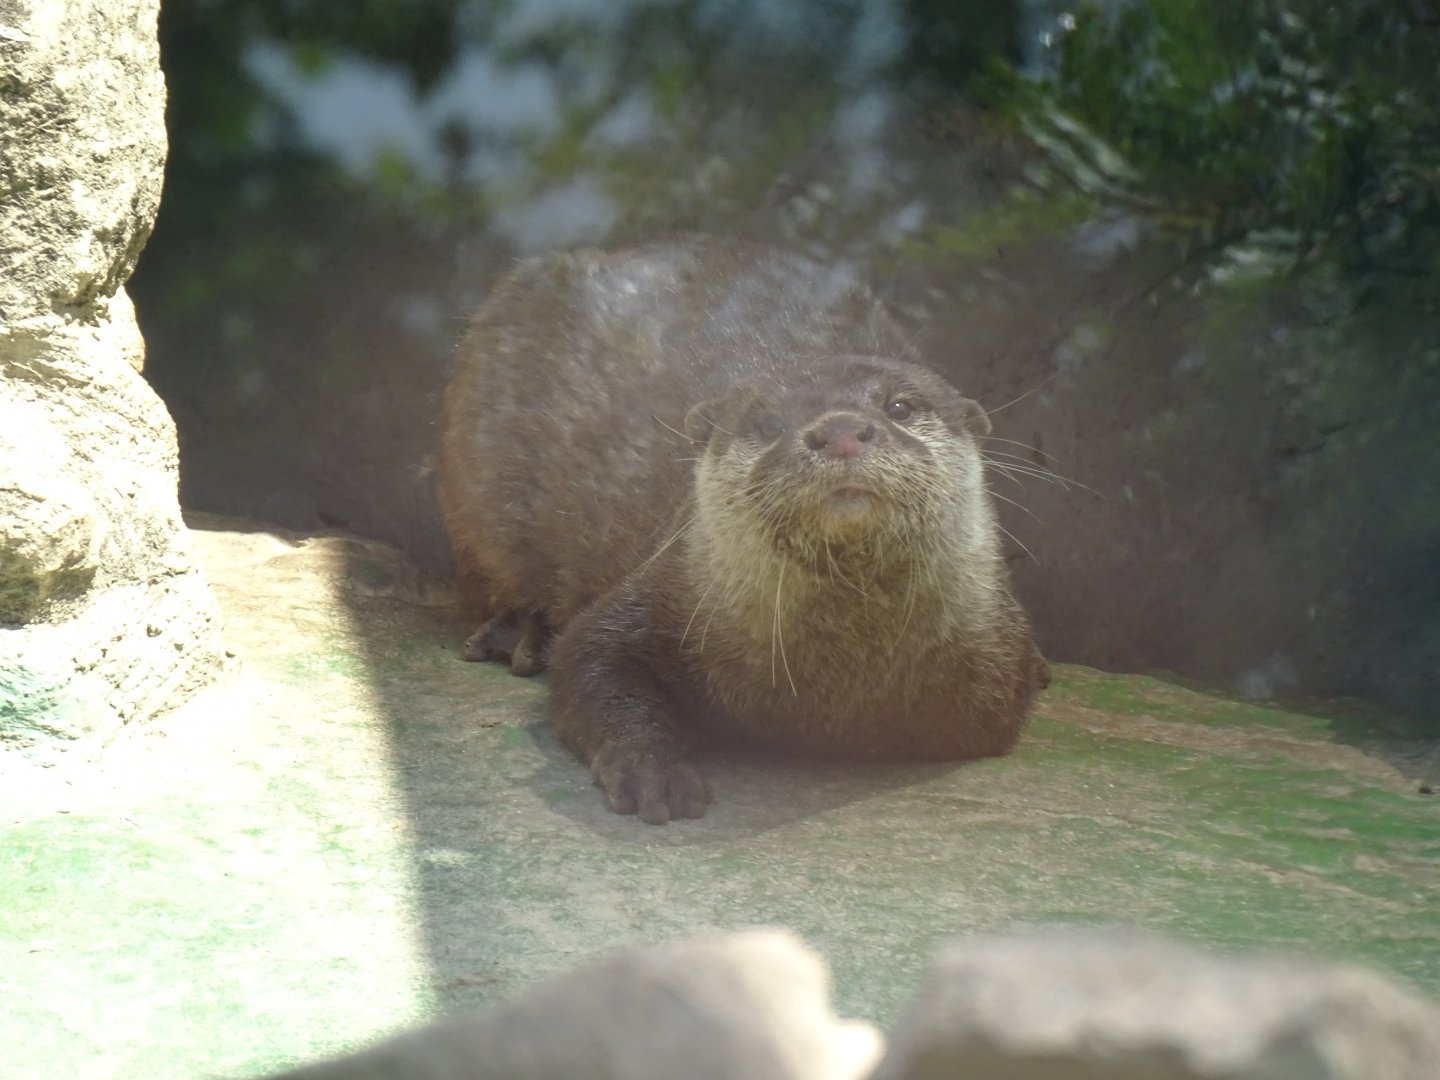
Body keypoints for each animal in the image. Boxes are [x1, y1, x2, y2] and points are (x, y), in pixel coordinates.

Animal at [437, 241, 1045, 823]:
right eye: (769, 421)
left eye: (899, 406)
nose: (841, 429)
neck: (838, 678)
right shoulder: (657, 593)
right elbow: (588, 662)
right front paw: (653, 770)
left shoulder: (995, 667)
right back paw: (522, 632)